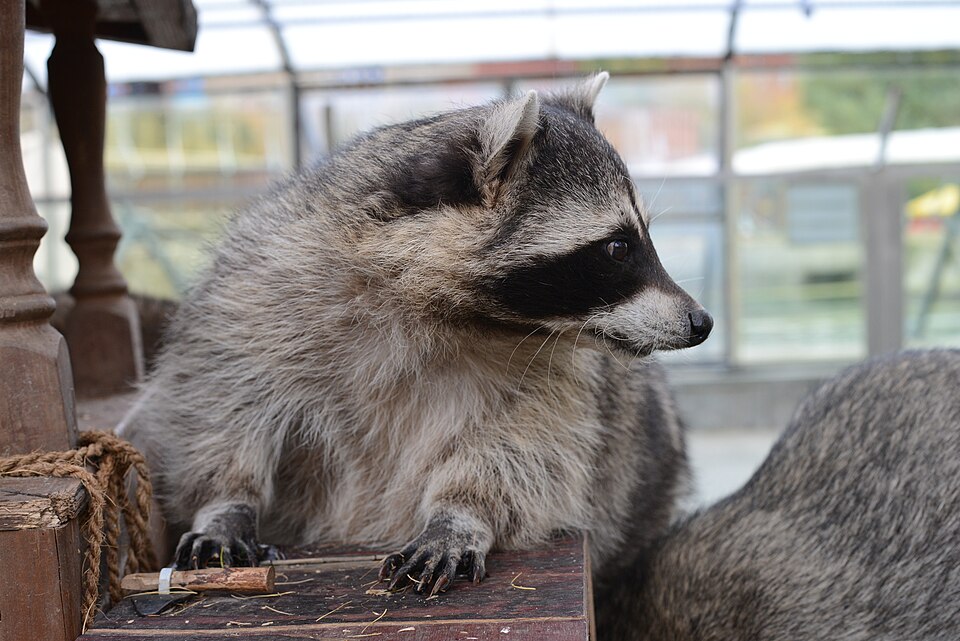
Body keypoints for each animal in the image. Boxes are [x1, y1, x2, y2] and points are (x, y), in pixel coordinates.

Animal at [121, 73, 712, 598]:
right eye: (618, 247)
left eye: (639, 239)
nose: (701, 321)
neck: (441, 307)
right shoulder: (256, 290)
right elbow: (217, 400)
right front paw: (225, 502)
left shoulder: (559, 371)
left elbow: (529, 446)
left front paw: (462, 513)